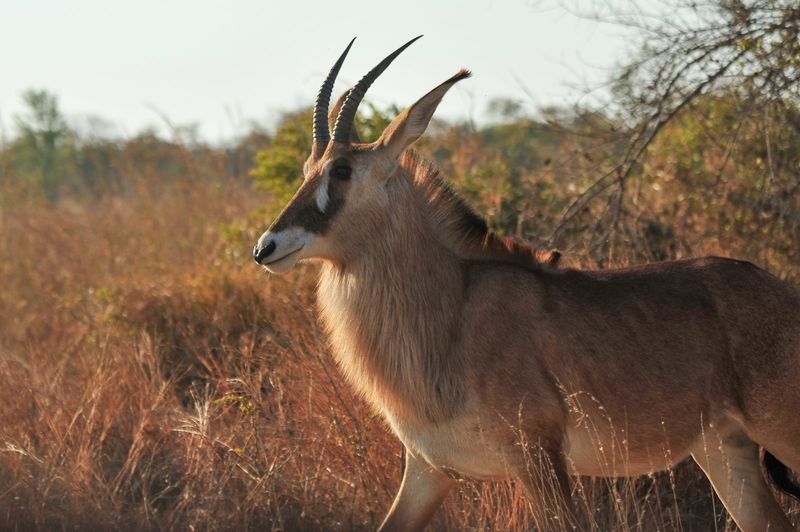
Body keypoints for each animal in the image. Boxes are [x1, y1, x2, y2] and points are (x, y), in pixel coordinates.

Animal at [253, 36, 800, 531]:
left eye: (343, 170)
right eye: (307, 169)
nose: (266, 247)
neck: (455, 307)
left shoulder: (538, 459)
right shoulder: (427, 471)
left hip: (779, 431)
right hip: (725, 452)